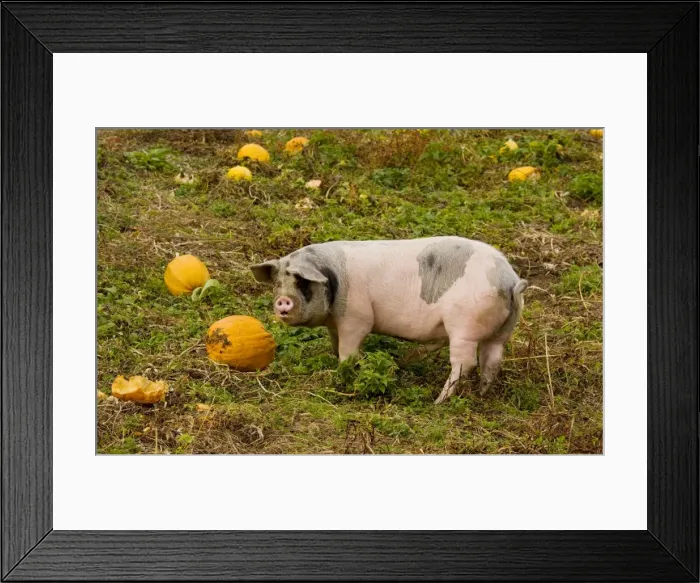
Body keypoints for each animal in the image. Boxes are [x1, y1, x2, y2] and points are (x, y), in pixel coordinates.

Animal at [250, 236, 528, 404]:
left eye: (302, 281)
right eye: (278, 283)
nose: (282, 301)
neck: (335, 279)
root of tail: (509, 281)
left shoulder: (356, 319)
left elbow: (347, 353)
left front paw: (342, 374)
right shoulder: (335, 325)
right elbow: (334, 345)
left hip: (464, 328)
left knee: (465, 363)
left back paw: (438, 402)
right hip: (502, 332)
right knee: (492, 361)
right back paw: (481, 394)